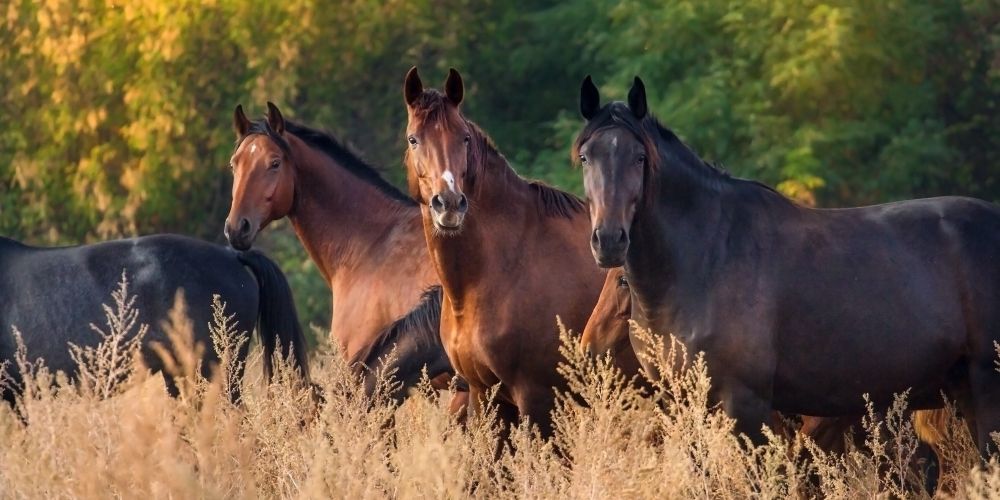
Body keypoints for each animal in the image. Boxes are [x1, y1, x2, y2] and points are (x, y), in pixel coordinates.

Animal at [574, 75, 1000, 457]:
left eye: (639, 158)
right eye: (585, 158)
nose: (609, 240)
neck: (705, 261)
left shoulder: (746, 407)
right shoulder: (684, 406)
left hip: (986, 386)